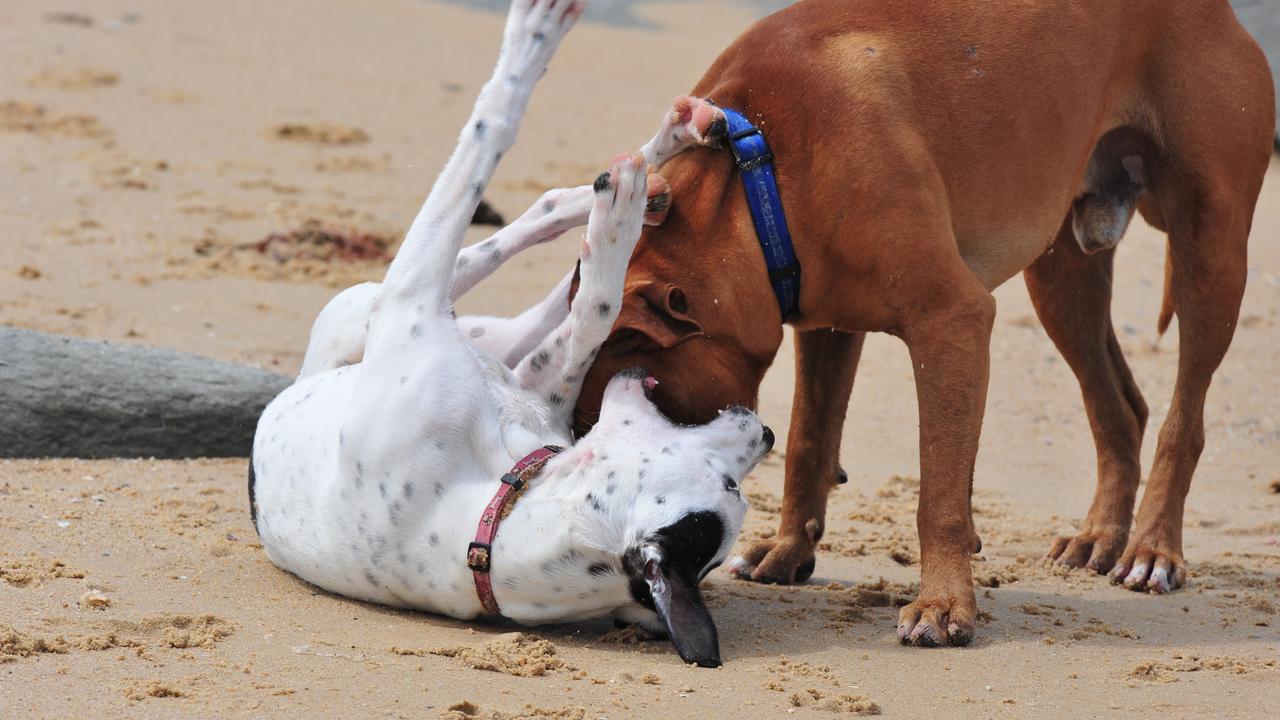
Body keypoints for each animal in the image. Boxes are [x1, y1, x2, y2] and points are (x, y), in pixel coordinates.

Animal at [249, 0, 768, 666]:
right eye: (730, 480)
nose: (765, 431)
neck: (489, 512)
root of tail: (302, 376)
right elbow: (591, 311)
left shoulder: (410, 298)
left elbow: (492, 126)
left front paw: (532, 43)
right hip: (458, 335)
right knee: (547, 270)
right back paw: (648, 167)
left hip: (380, 303)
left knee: (512, 243)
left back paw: (621, 190)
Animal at [576, 0, 1274, 645]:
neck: (757, 164)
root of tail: (1223, 12)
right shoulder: (824, 325)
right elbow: (809, 440)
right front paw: (791, 549)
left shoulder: (951, 320)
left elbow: (938, 490)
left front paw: (944, 604)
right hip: (1061, 277)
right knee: (1119, 408)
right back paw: (1101, 536)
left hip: (1210, 254)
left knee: (1185, 418)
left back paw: (1153, 549)